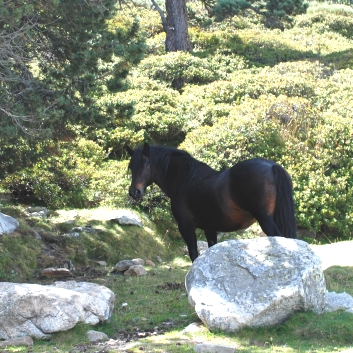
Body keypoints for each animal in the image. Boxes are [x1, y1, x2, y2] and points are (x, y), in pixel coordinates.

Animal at [125, 142, 296, 260]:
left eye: (146, 164)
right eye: (131, 167)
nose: (134, 192)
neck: (185, 179)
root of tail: (272, 166)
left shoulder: (186, 226)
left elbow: (194, 254)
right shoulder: (210, 228)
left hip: (265, 219)